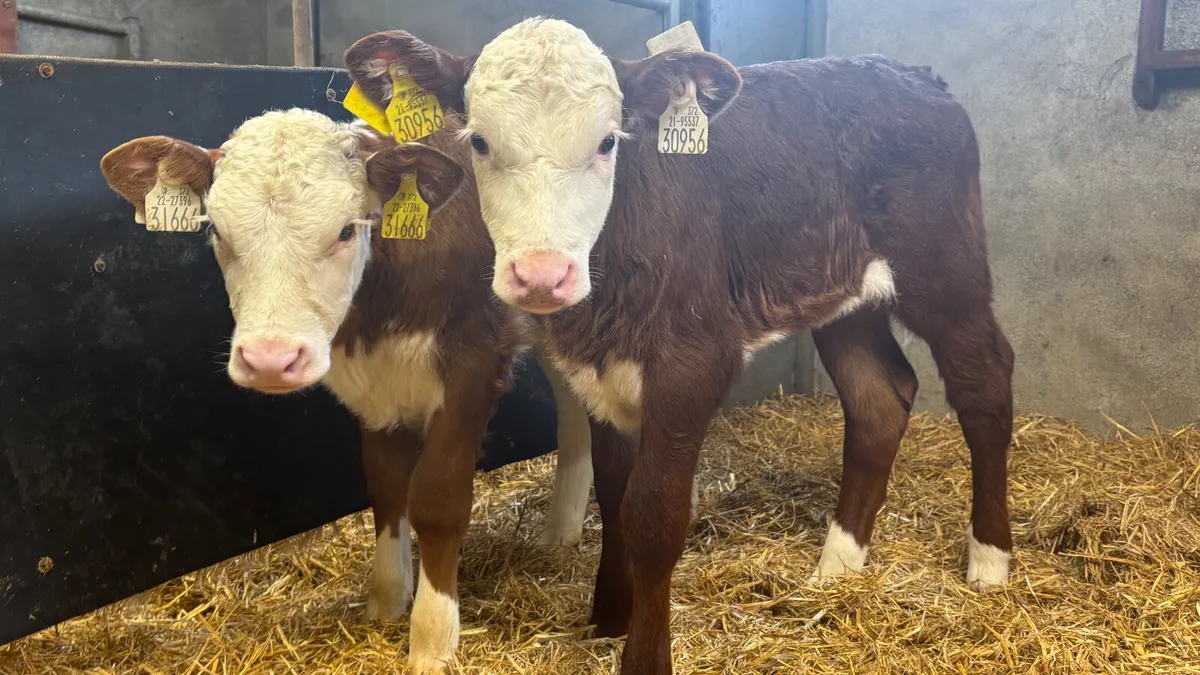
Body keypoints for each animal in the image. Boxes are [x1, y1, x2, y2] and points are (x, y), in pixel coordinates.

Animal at [98, 108, 593, 674]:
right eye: (217, 231)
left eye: (344, 231)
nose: (270, 359)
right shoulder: (374, 385)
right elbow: (385, 484)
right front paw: (388, 599)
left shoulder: (473, 361)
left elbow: (438, 498)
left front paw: (432, 636)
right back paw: (560, 531)